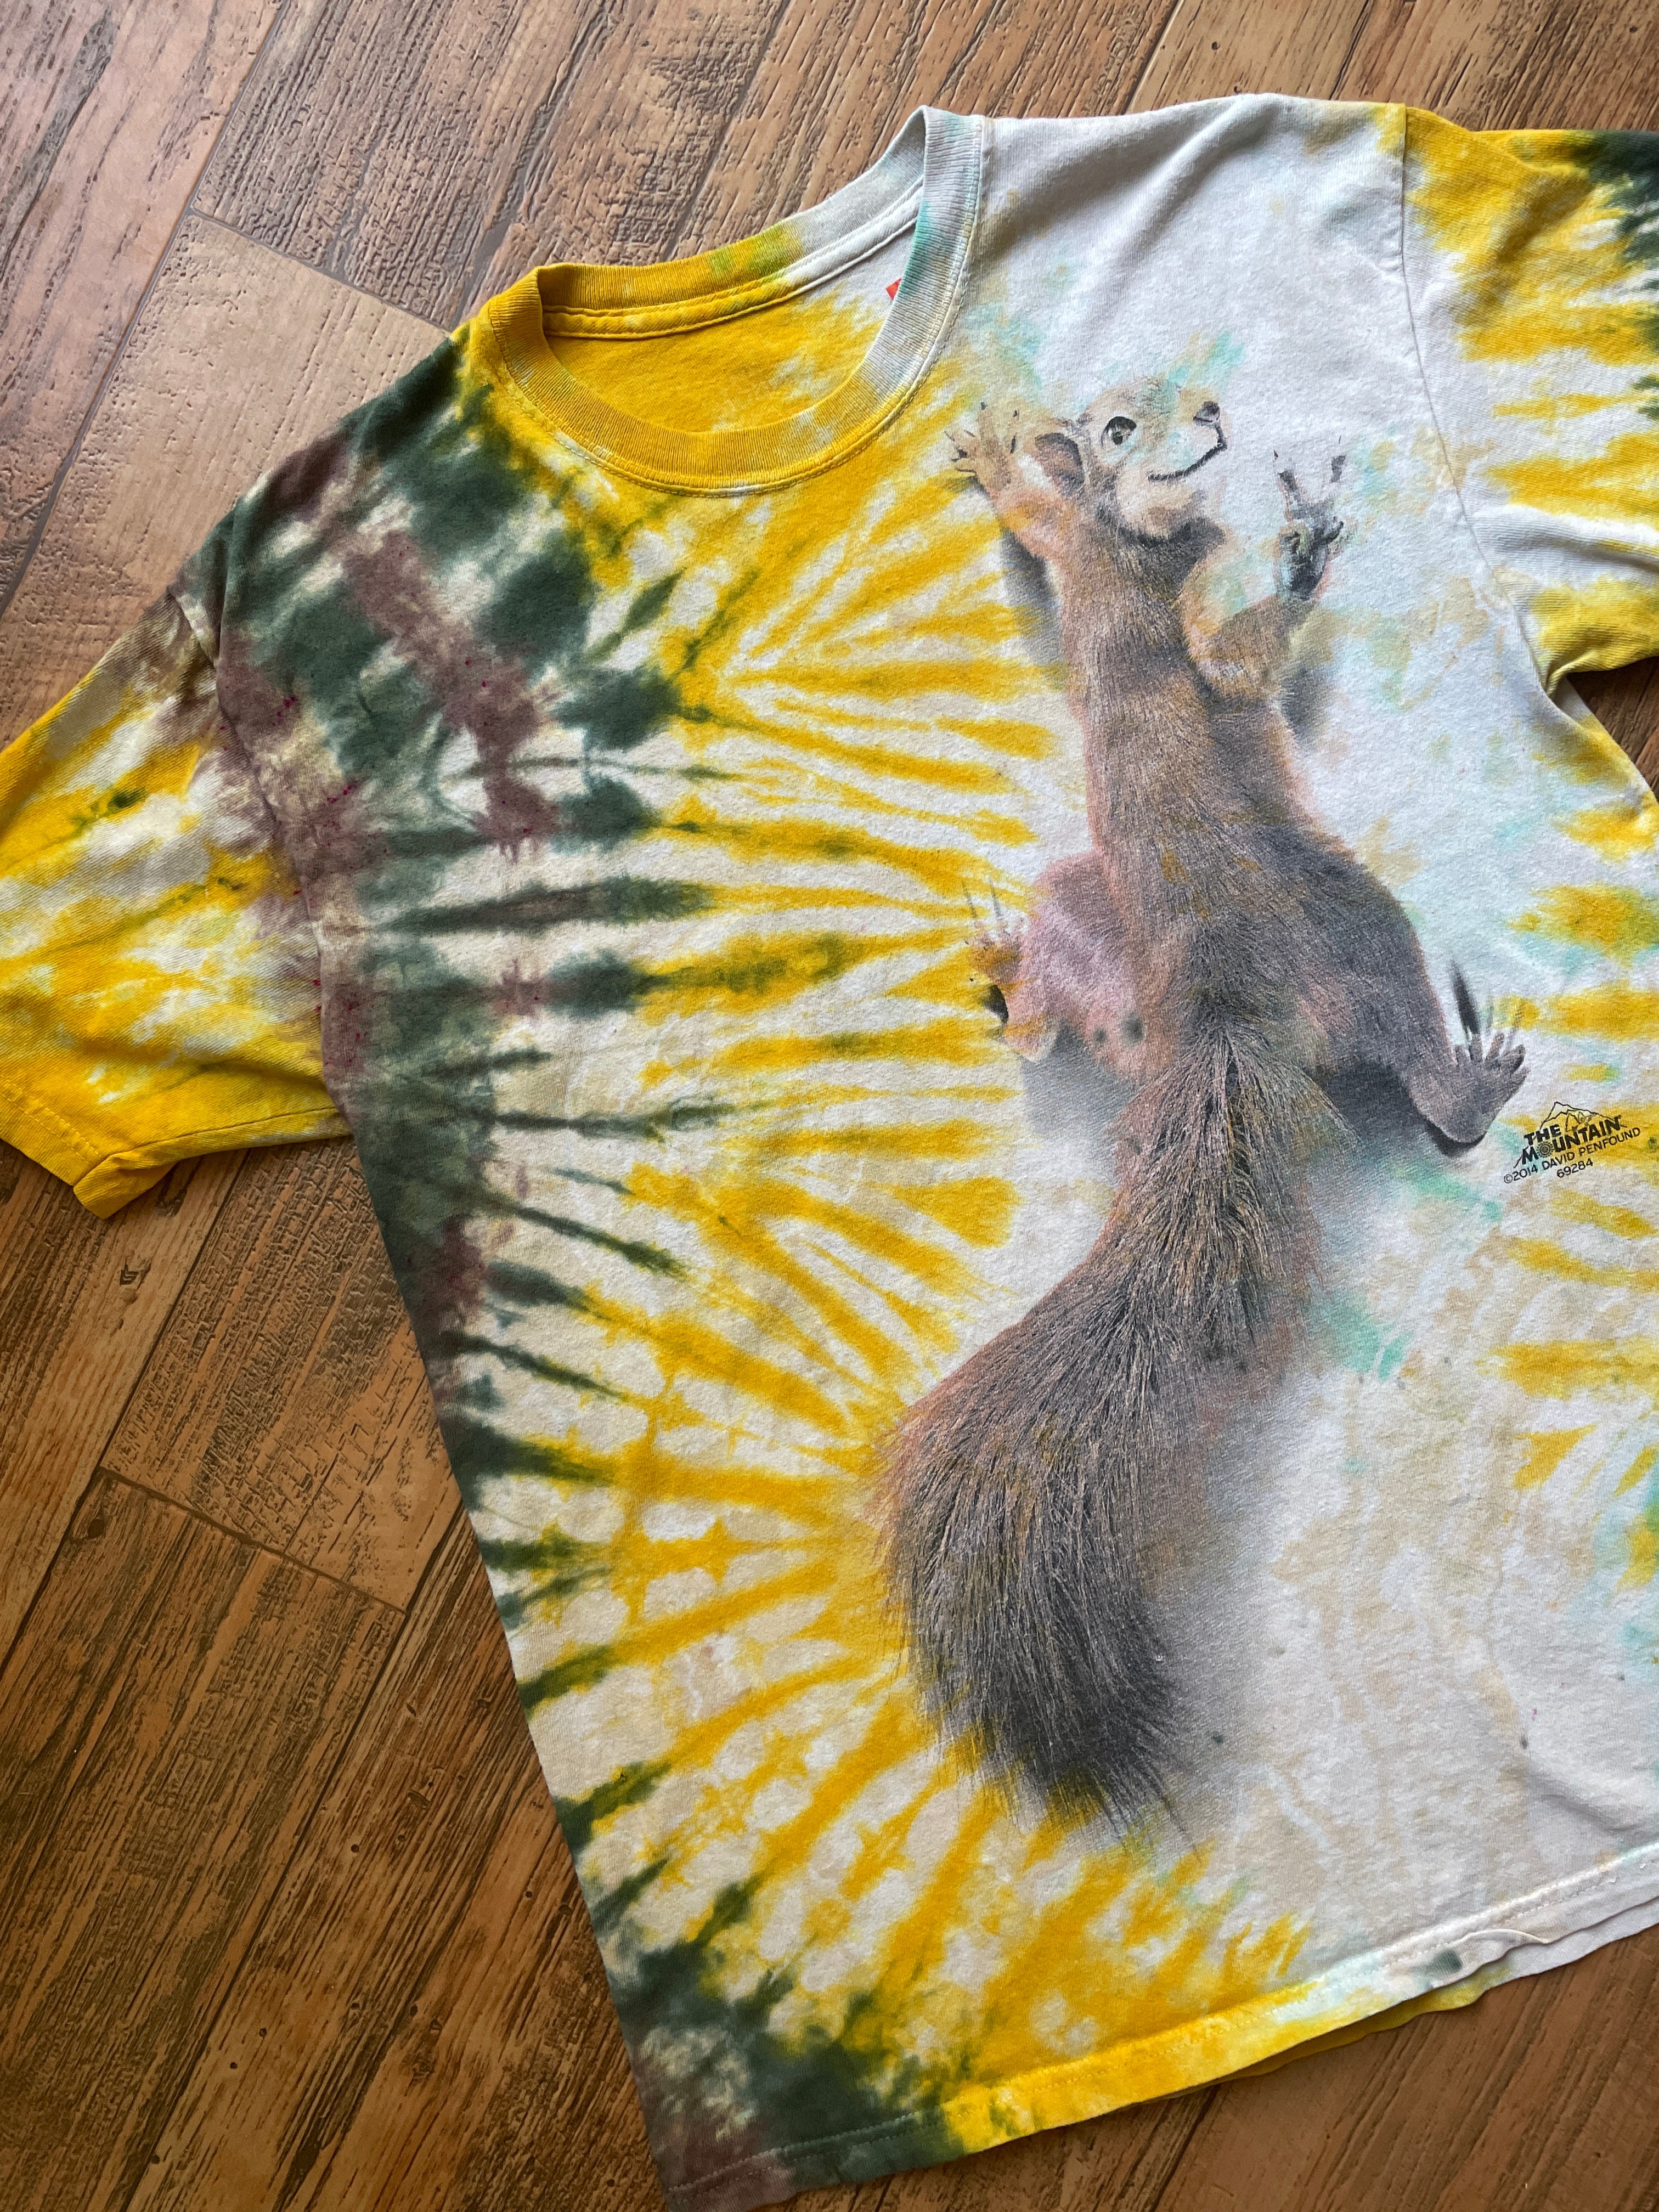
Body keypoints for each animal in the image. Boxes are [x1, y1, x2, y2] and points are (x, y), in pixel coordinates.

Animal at [881, 378, 1526, 1827]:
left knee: (1059, 1029)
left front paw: (992, 449)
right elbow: (1233, 665)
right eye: (1121, 427)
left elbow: (1025, 516)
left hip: (1091, 910)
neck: (1136, 543)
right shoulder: (1174, 610)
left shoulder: (1066, 545)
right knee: (1414, 1064)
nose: (1221, 413)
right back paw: (1468, 1085)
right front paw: (1298, 558)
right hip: (1351, 921)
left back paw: (1012, 981)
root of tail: (1214, 1026)